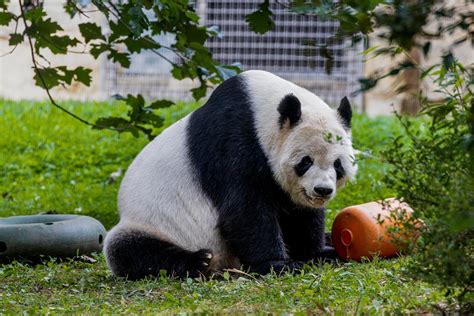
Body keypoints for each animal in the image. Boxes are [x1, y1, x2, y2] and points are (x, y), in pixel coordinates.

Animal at [103, 69, 356, 278]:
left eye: (337, 165)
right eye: (305, 162)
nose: (322, 190)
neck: (260, 111)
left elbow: (300, 214)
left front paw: (318, 252)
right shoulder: (233, 143)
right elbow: (244, 210)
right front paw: (279, 264)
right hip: (149, 223)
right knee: (131, 251)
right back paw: (198, 261)